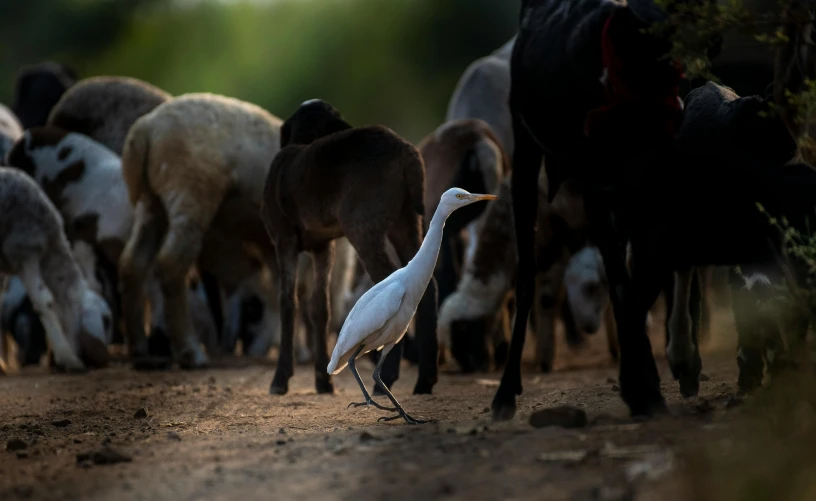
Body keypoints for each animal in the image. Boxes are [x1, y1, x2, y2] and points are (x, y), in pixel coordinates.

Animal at [119, 93, 282, 368]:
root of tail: (146, 128)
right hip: (190, 194)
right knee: (171, 264)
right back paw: (190, 351)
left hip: (151, 202)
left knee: (133, 263)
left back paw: (139, 348)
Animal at [262, 97, 440, 394]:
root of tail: (406, 152)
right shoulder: (324, 245)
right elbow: (320, 306)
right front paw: (323, 380)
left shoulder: (283, 238)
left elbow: (287, 300)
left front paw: (280, 379)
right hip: (406, 219)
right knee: (425, 284)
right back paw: (425, 380)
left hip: (364, 223)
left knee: (394, 285)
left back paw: (387, 377)